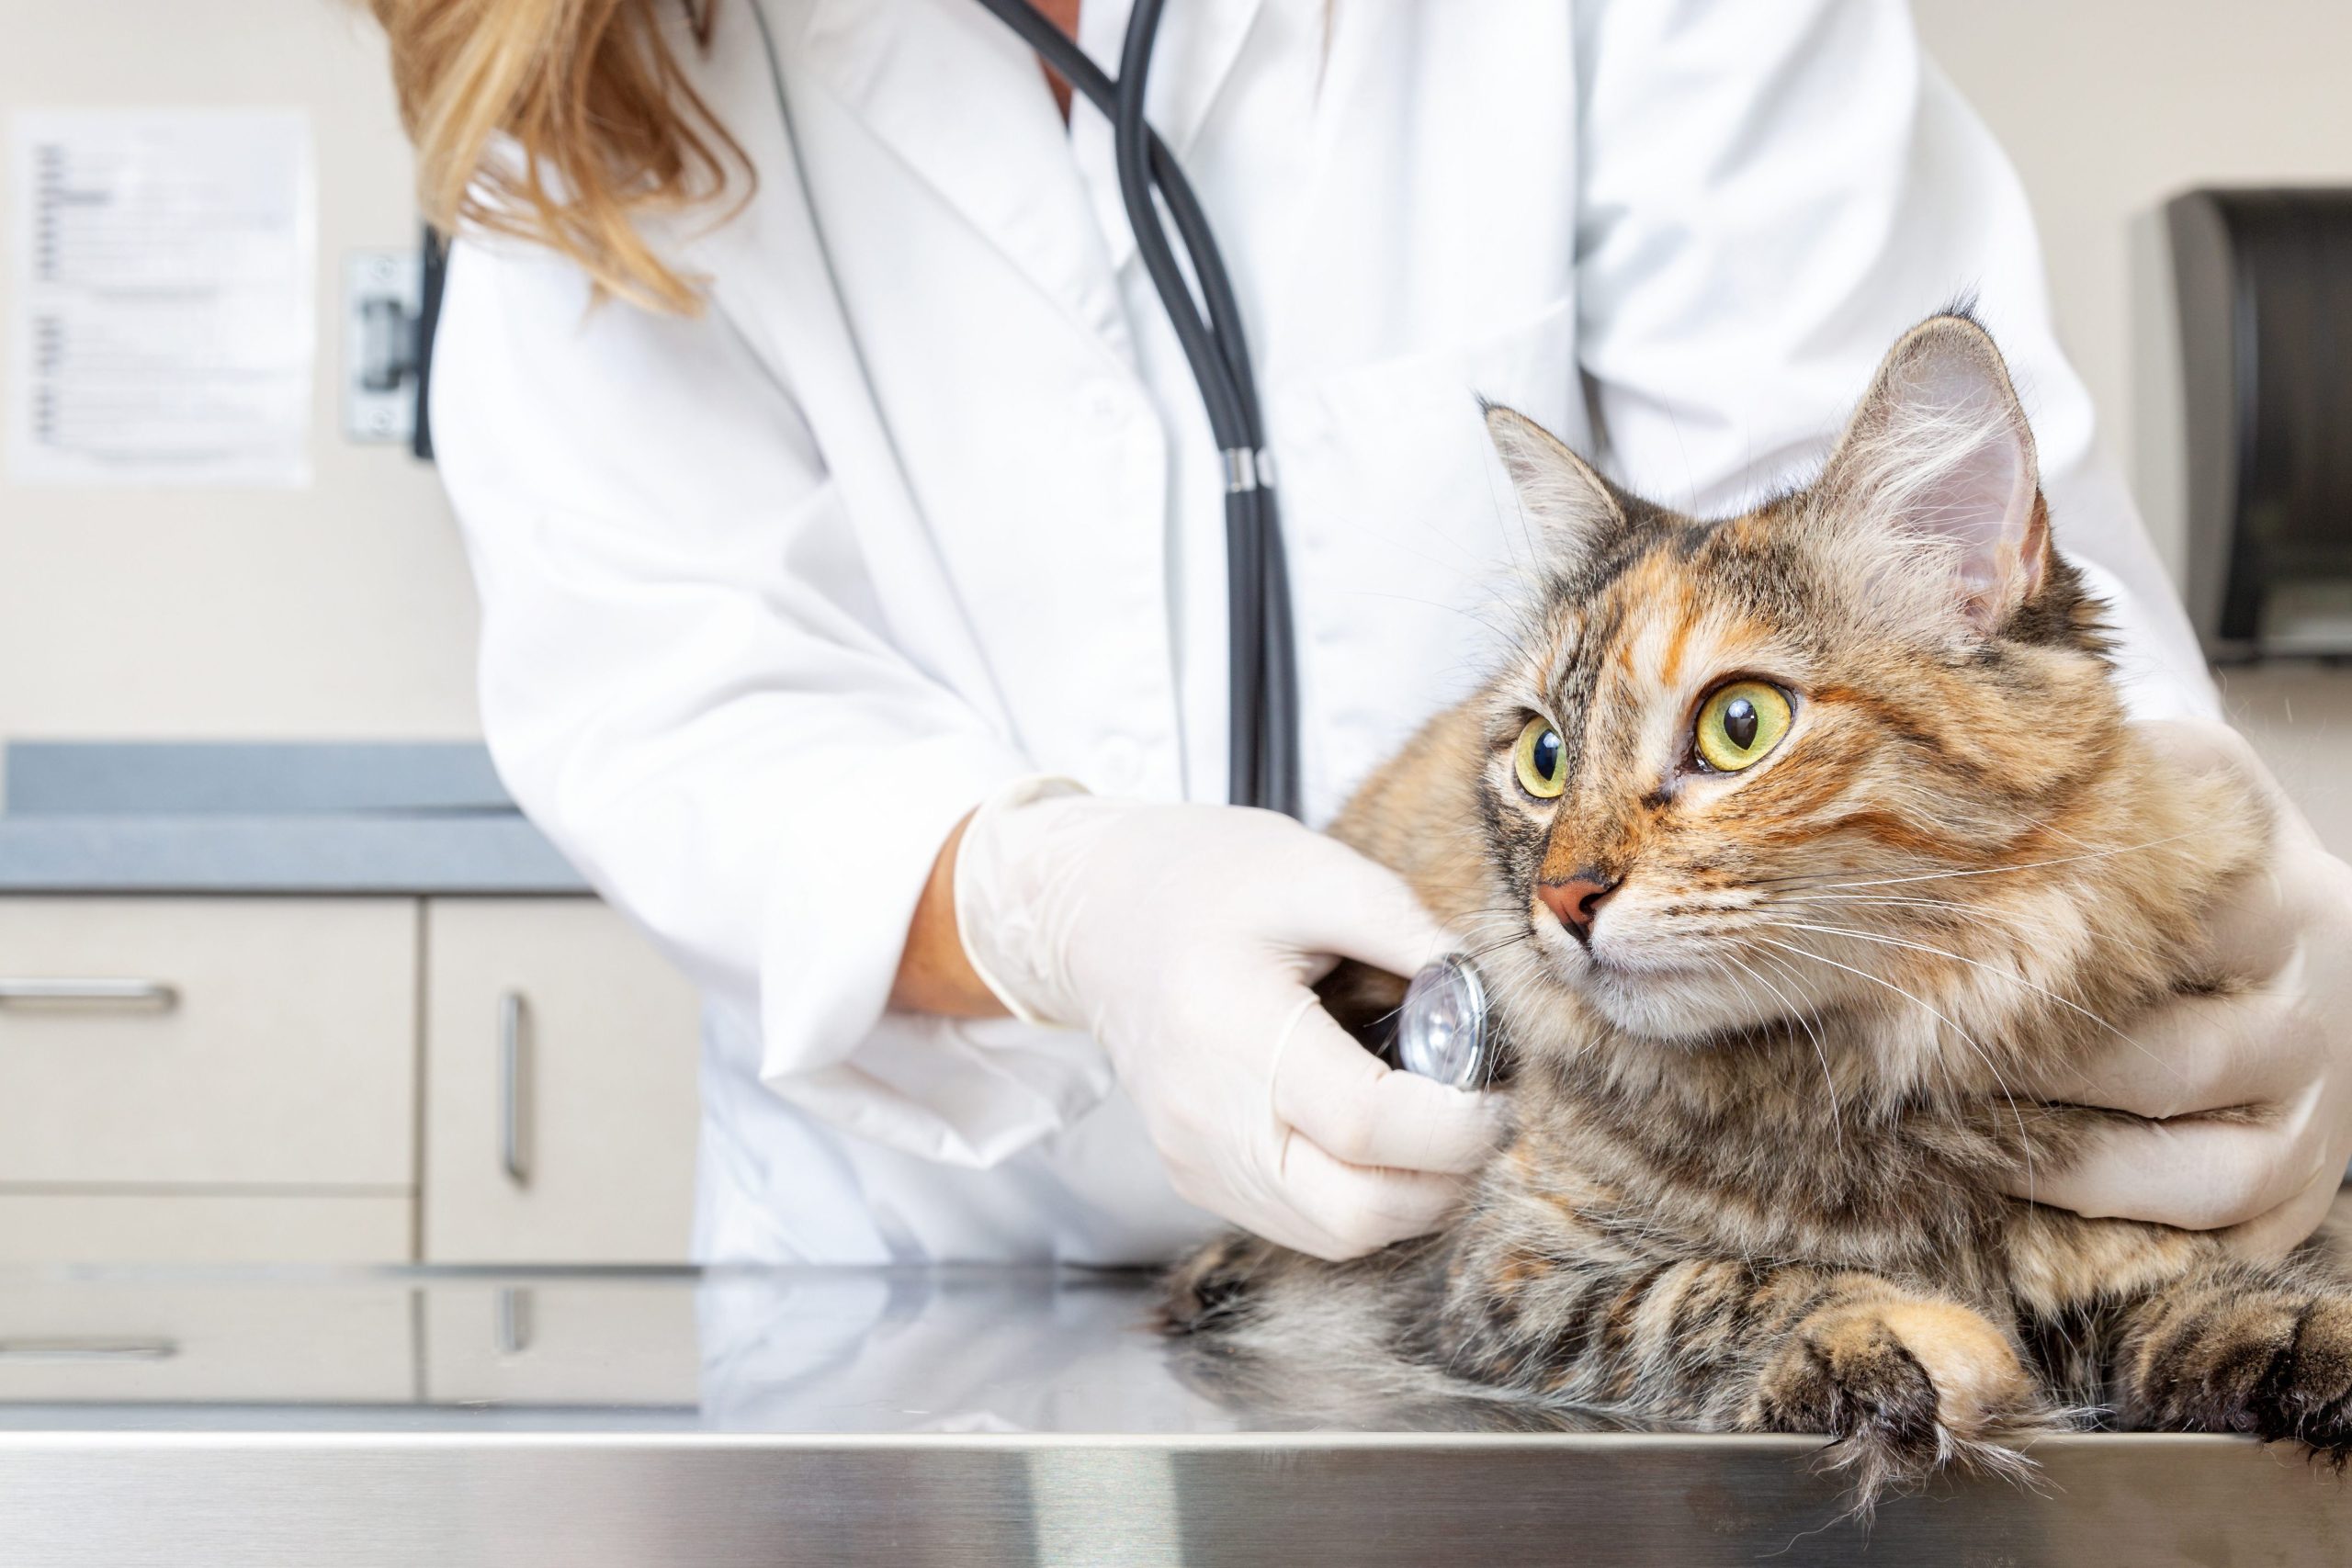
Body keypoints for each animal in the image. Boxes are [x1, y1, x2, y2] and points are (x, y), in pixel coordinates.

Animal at [1161, 312, 2352, 1504]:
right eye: (1544, 757)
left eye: (1740, 726)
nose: (1563, 895)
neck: (1860, 1088)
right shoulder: (1505, 1274)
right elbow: (1721, 1286)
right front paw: (1900, 1336)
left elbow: (2213, 1285)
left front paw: (2302, 1334)